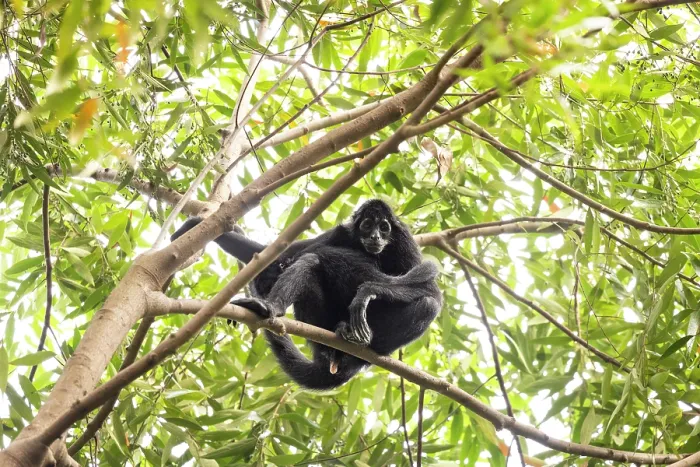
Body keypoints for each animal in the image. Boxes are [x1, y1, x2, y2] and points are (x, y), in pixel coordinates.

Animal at [171, 199, 442, 389]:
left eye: (384, 228)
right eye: (367, 225)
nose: (375, 236)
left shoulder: (403, 238)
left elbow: (432, 291)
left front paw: (367, 291)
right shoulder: (341, 232)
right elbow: (282, 256)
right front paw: (192, 226)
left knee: (427, 304)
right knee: (311, 260)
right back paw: (272, 309)